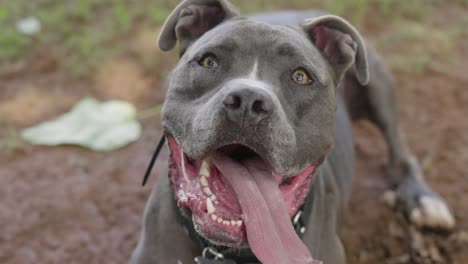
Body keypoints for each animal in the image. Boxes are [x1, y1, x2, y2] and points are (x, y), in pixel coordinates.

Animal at [130, 1, 456, 262]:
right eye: (209, 60)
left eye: (301, 76)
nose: (248, 101)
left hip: (378, 83)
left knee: (399, 146)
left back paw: (423, 199)